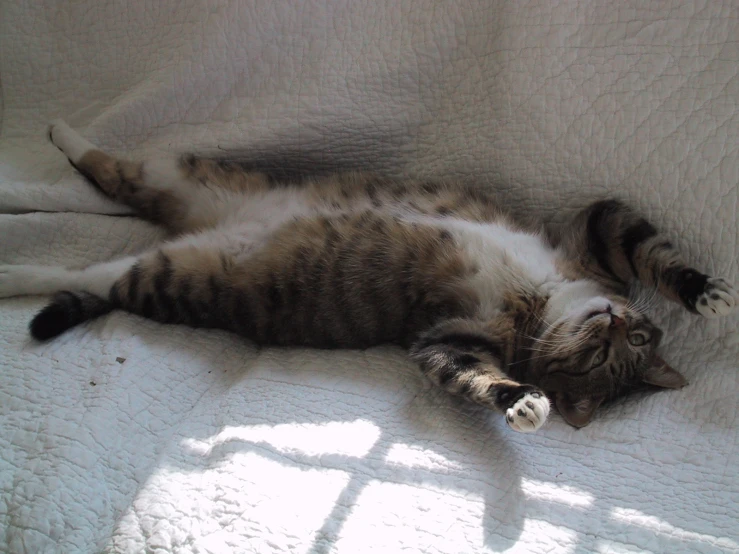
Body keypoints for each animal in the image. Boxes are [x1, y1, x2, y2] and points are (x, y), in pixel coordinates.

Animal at [2, 119, 736, 432]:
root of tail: (207, 227)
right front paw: (707, 293)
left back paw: (12, 269)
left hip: (175, 274)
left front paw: (521, 400)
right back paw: (61, 132)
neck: (552, 298)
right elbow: (648, 250)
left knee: (86, 270)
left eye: (602, 362)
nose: (609, 319)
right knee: (108, 166)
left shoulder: (447, 337)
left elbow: (470, 372)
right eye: (625, 341)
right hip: (185, 173)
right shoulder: (592, 232)